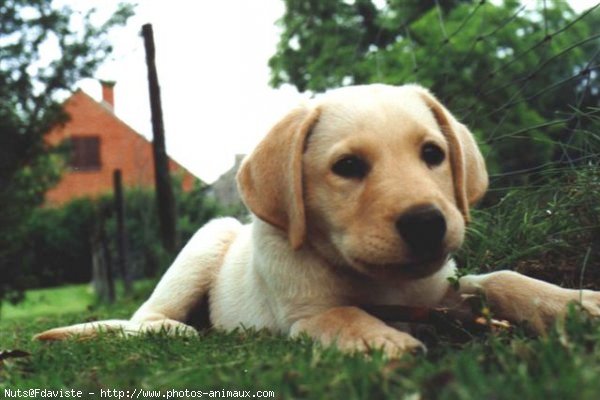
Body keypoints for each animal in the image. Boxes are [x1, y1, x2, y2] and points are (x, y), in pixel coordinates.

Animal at [36, 83, 600, 356]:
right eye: (347, 167)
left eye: (433, 155)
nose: (427, 223)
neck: (382, 283)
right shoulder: (301, 312)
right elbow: (336, 313)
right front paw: (379, 339)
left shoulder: (440, 289)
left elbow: (501, 278)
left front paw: (573, 301)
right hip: (208, 239)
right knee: (144, 319)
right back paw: (178, 330)